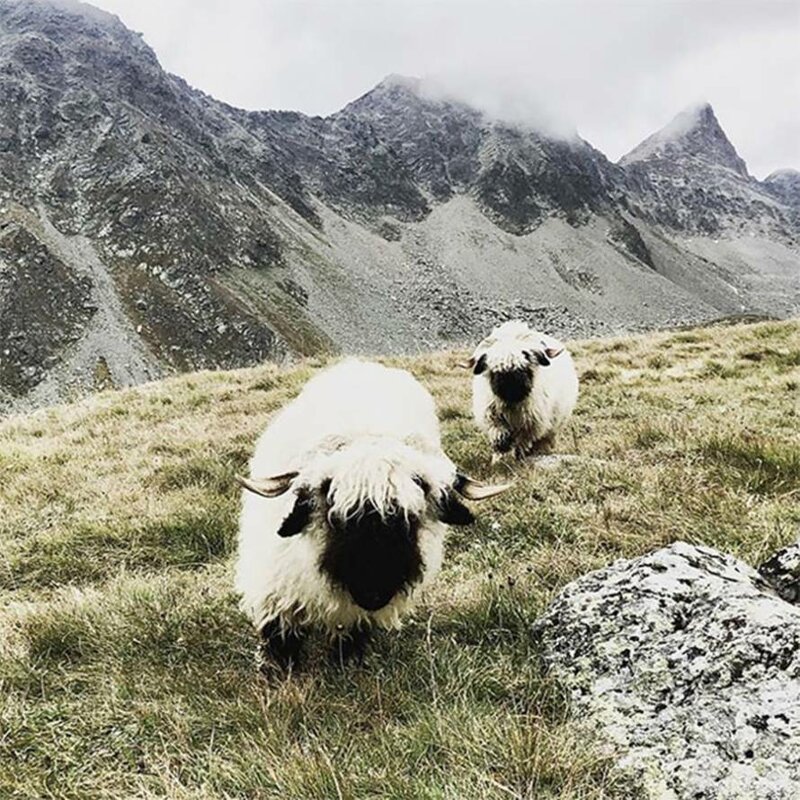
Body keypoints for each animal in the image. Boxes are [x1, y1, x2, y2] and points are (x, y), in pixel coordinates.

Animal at [238, 358, 510, 668]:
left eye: (411, 520)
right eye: (335, 518)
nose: (373, 594)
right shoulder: (277, 588)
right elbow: (280, 637)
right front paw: (278, 670)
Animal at [466, 318, 580, 456]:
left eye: (525, 362)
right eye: (495, 369)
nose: (511, 387)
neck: (512, 403)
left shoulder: (532, 425)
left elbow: (522, 442)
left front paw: (518, 454)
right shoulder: (491, 415)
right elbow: (499, 432)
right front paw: (502, 446)